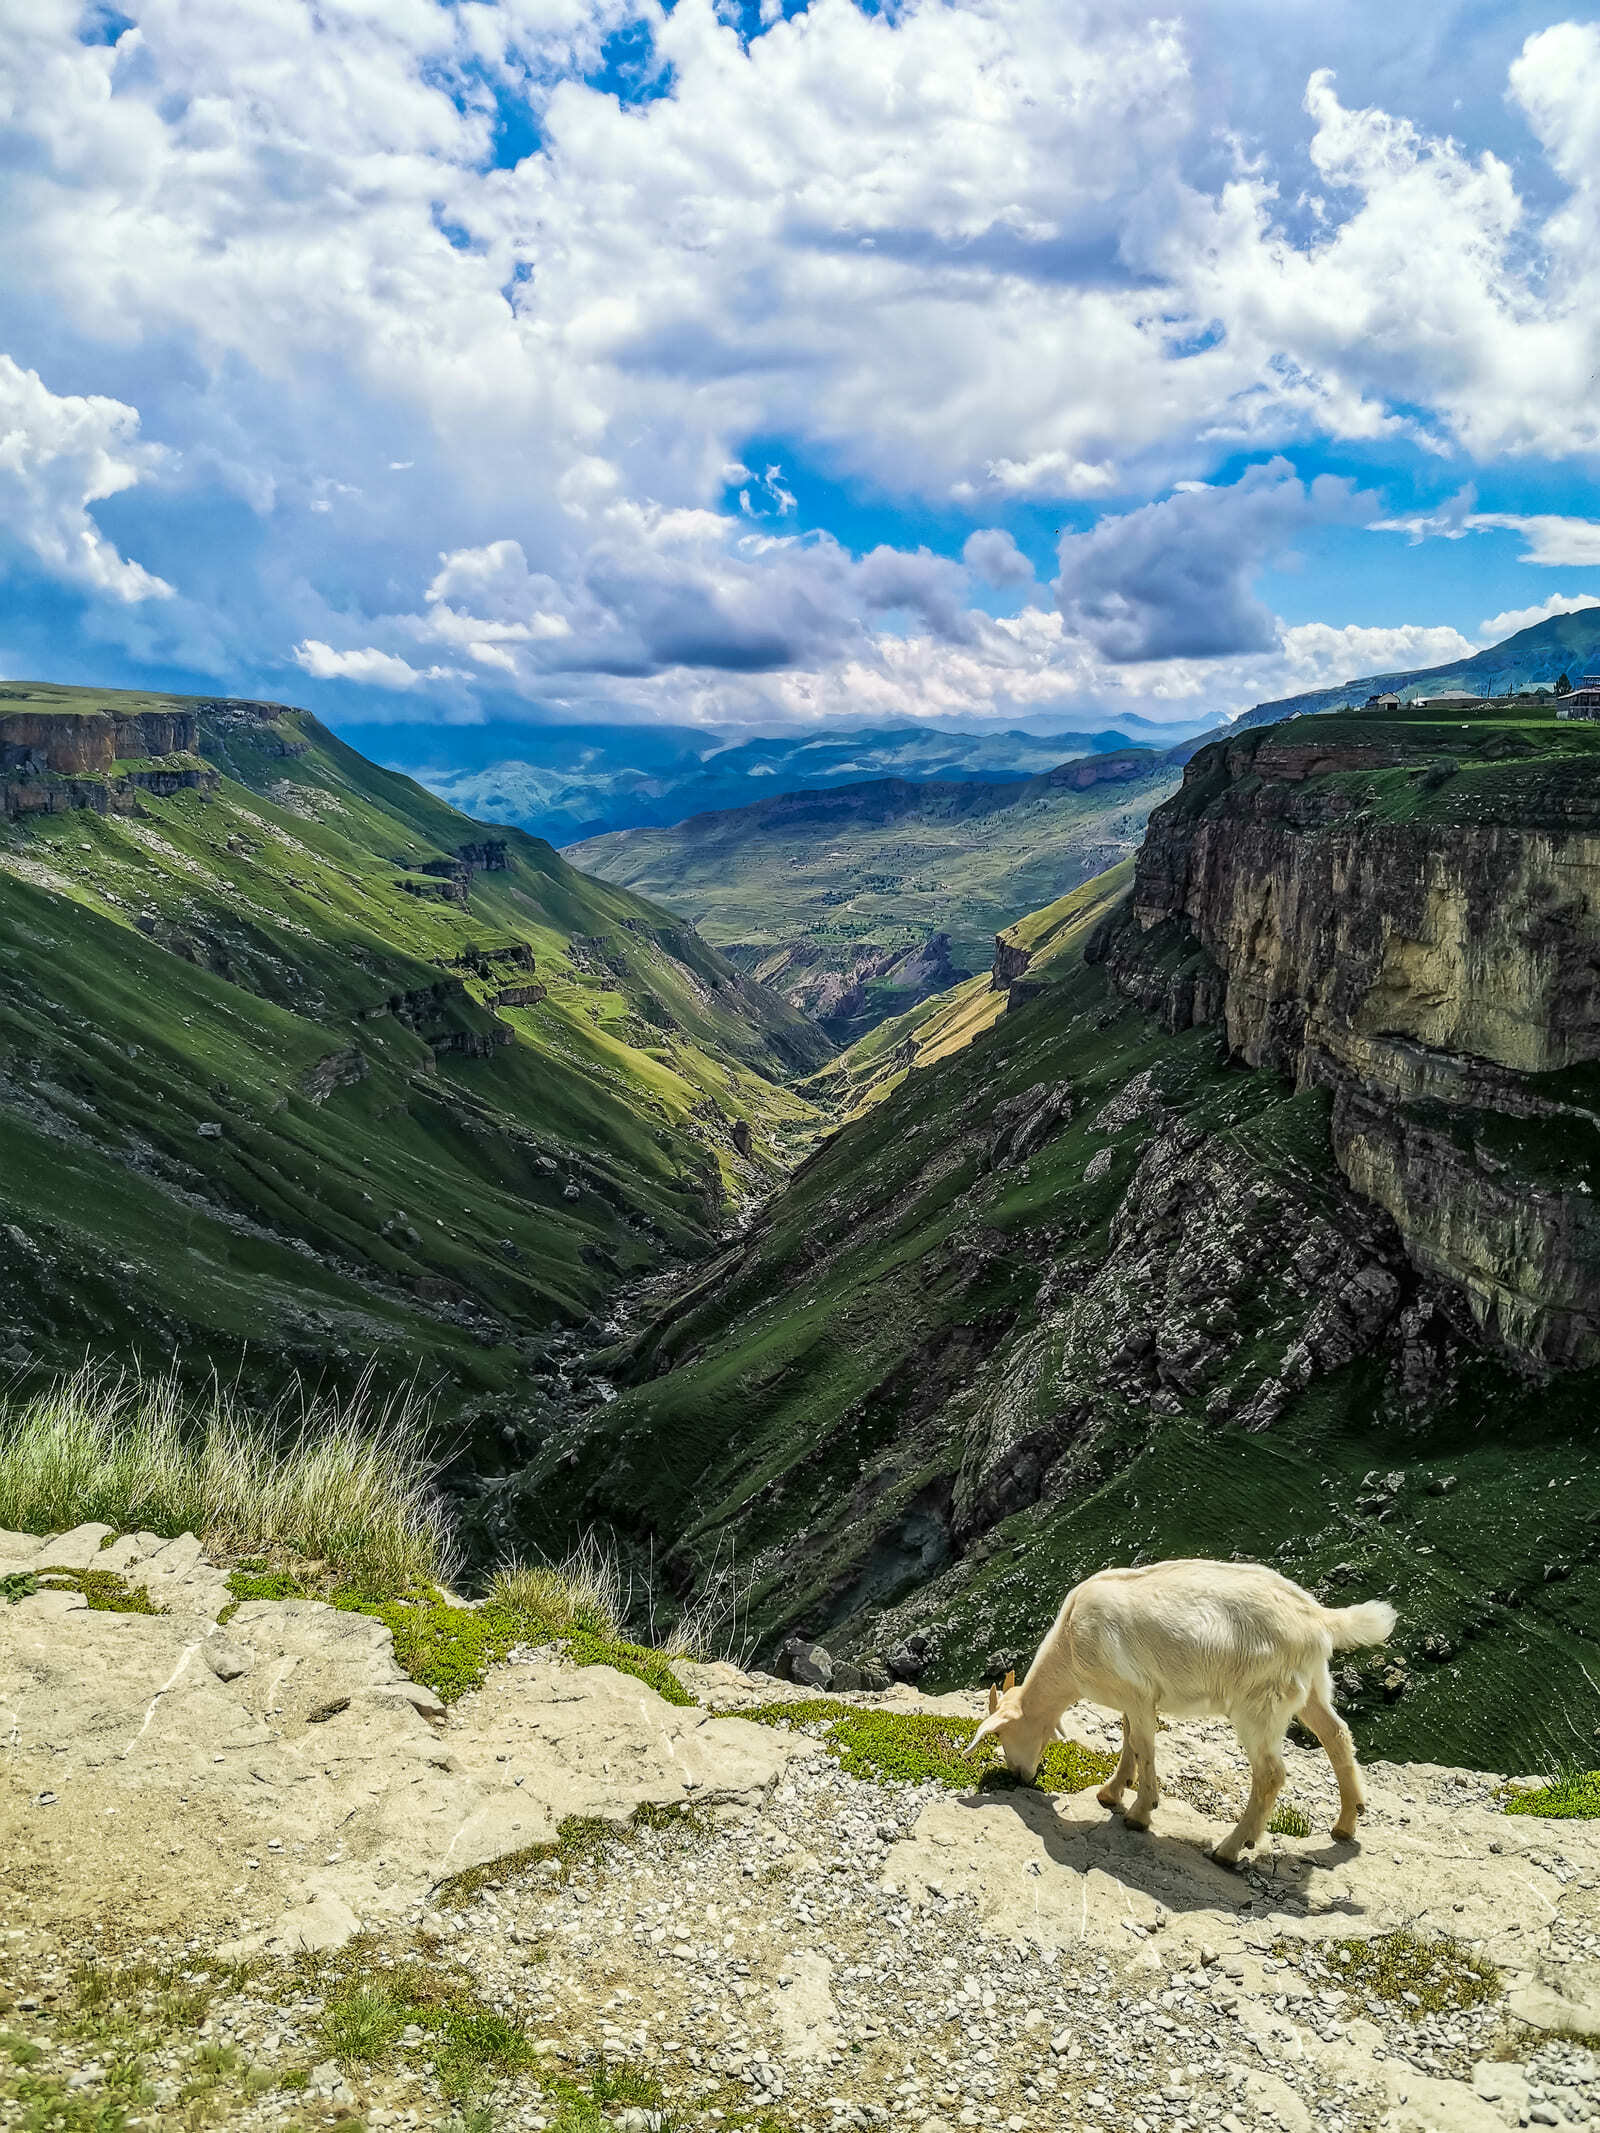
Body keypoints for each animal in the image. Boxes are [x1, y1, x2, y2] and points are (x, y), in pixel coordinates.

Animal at [972, 1552, 1399, 1868]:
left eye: (1002, 1733)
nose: (1019, 1776)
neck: (1071, 1648)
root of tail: (1318, 1619)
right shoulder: (1134, 1697)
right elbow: (1129, 1739)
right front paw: (1112, 1792)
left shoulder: (1138, 1694)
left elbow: (1144, 1746)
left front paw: (1139, 1814)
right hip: (1312, 1686)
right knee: (1336, 1734)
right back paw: (1345, 1824)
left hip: (1260, 1701)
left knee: (1271, 1773)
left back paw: (1230, 1849)